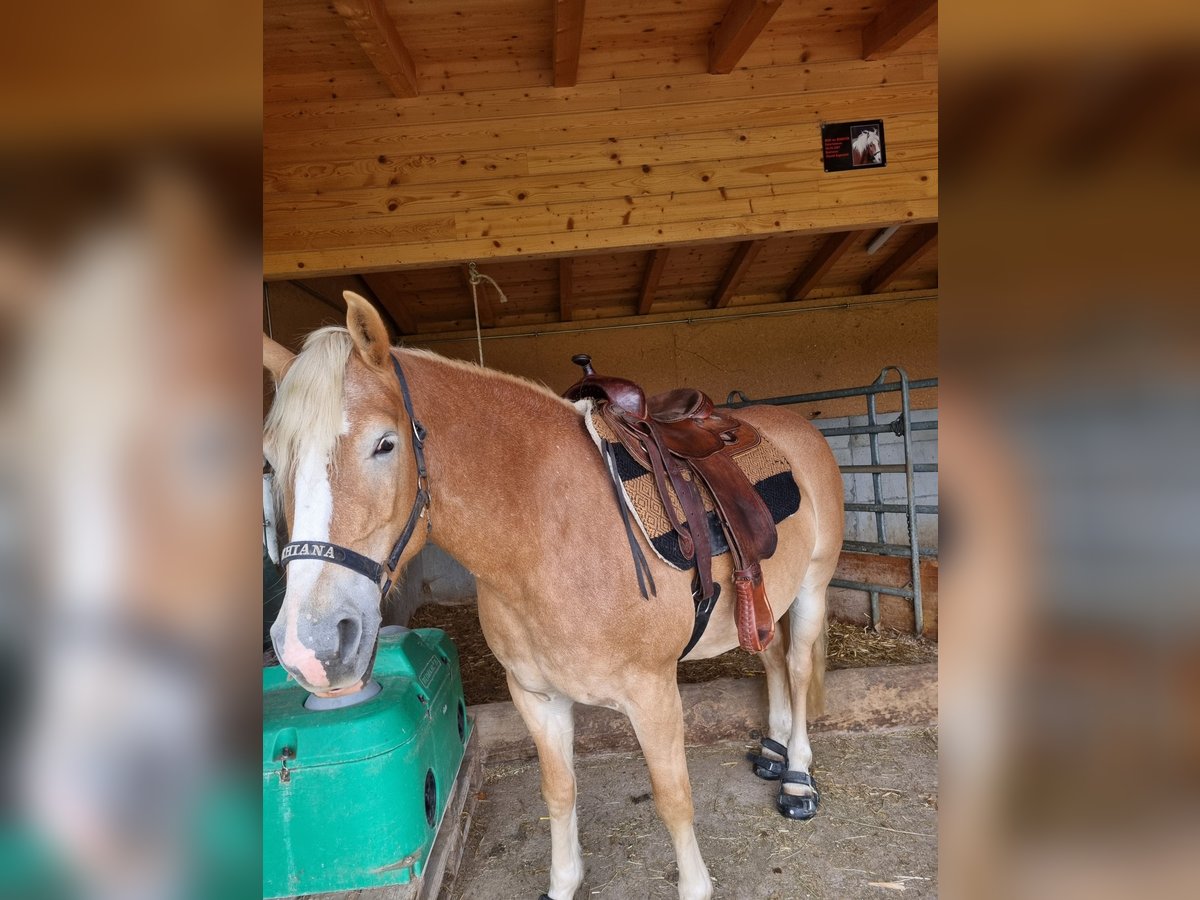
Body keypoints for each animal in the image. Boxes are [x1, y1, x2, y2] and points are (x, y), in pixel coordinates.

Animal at [262, 296, 844, 900]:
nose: (310, 645)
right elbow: (558, 793)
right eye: (272, 460)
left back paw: (796, 777)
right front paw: (564, 881)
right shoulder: (536, 697)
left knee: (797, 667)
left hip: (812, 584)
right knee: (771, 659)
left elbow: (673, 800)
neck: (550, 535)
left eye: (384, 444)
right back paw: (773, 752)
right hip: (766, 602)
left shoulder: (653, 694)